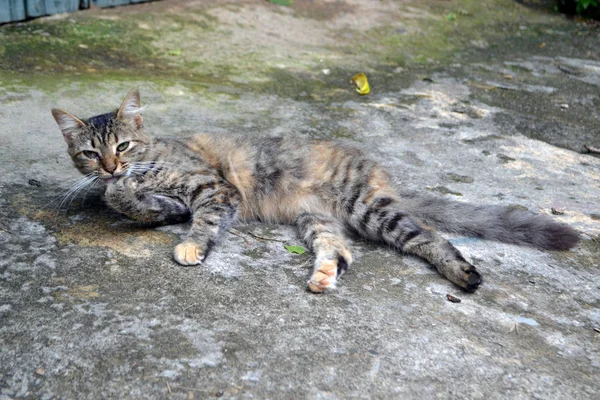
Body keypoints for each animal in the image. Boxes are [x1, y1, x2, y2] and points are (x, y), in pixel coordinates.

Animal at [52, 89, 580, 292]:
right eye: (90, 153)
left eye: (123, 145)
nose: (112, 166)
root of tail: (381, 173)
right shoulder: (167, 195)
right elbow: (125, 200)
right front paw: (137, 202)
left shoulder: (215, 189)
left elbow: (200, 221)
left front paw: (191, 245)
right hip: (316, 220)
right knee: (341, 250)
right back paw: (325, 275)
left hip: (372, 211)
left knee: (429, 237)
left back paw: (464, 274)